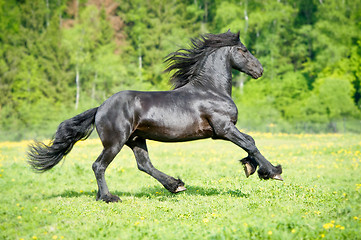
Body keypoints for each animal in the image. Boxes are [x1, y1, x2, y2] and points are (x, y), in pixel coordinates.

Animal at [28, 30, 282, 202]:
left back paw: (175, 185)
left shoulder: (224, 130)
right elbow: (250, 142)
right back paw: (108, 197)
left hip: (136, 139)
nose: (259, 70)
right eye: (244, 50)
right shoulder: (223, 128)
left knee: (144, 165)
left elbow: (249, 143)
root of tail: (100, 107)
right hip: (115, 142)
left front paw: (250, 167)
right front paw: (272, 172)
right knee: (99, 166)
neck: (210, 89)